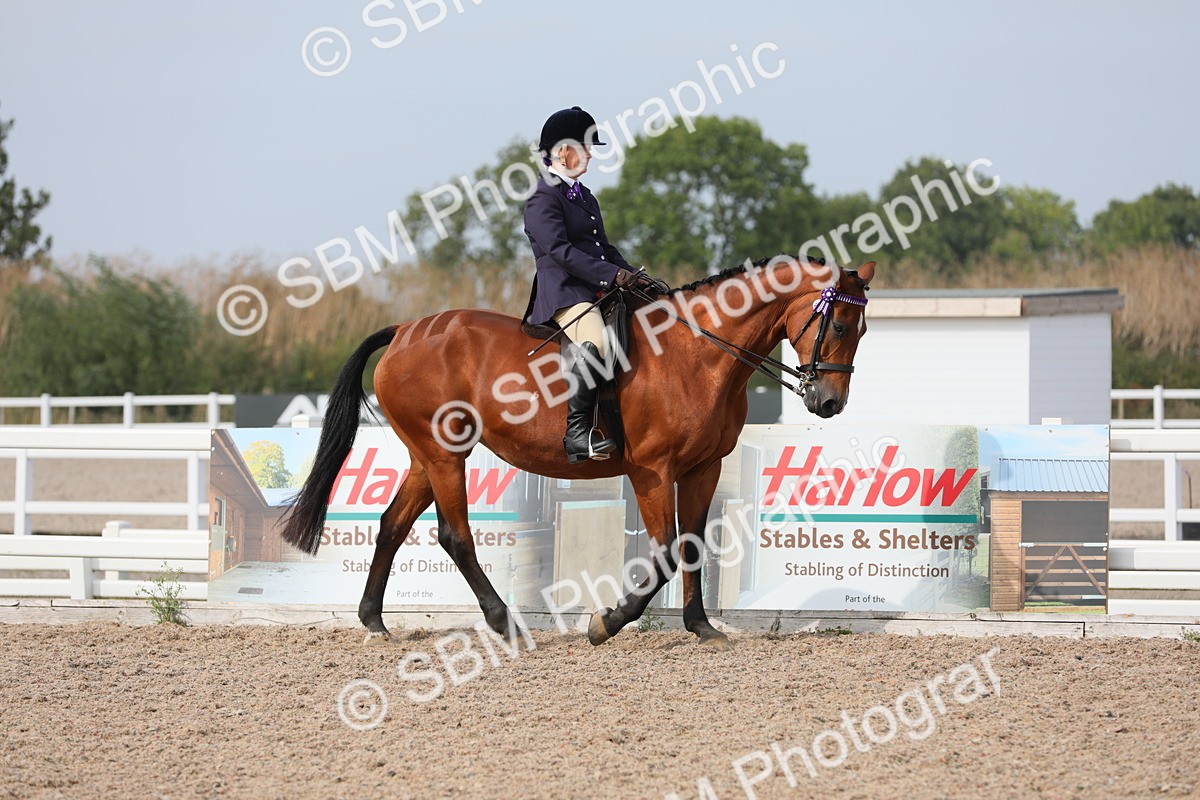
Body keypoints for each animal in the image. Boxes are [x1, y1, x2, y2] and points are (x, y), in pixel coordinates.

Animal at [279, 255, 875, 649]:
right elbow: (663, 555)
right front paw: (605, 623)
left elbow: (691, 546)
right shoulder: (652, 470)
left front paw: (702, 628)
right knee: (455, 535)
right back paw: (504, 623)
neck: (697, 355)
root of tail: (406, 330)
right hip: (445, 454)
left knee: (392, 524)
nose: (829, 403)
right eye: (842, 324)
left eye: (863, 329)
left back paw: (374, 620)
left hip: (429, 455)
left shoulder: (703, 468)